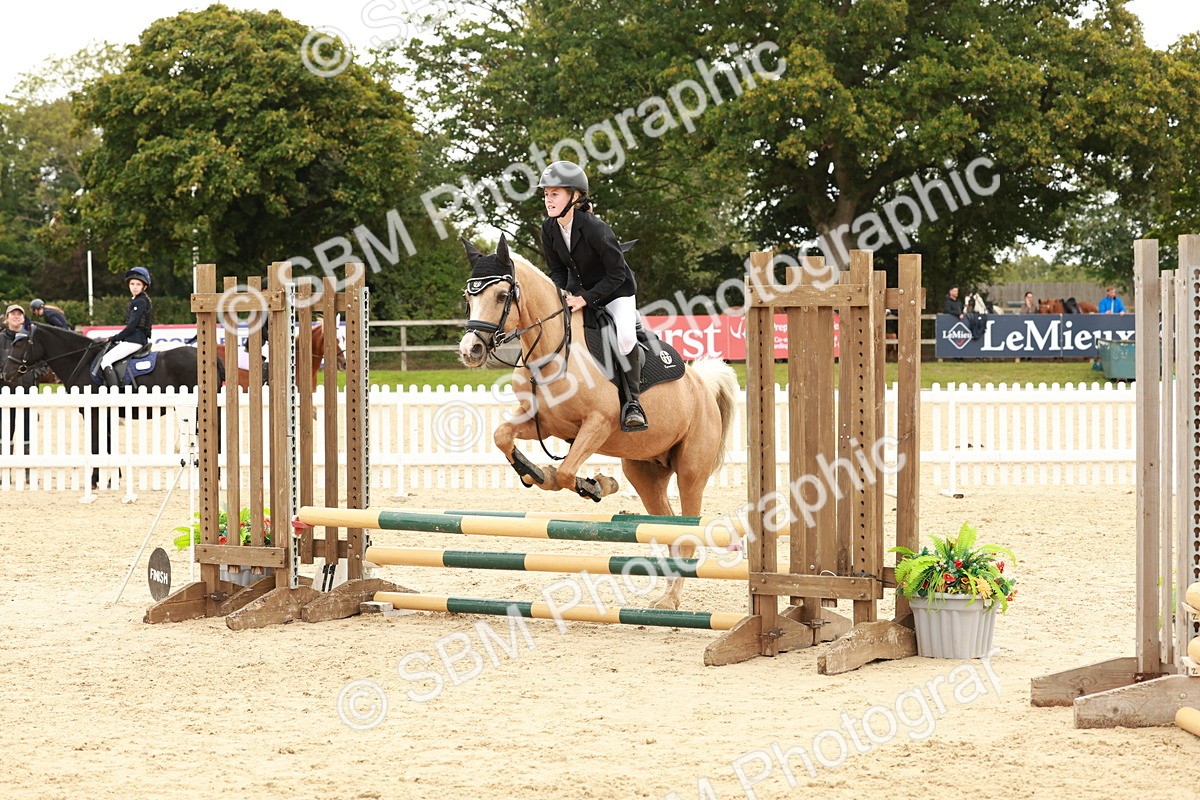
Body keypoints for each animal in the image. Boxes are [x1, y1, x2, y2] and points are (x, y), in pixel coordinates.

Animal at [1, 324, 209, 490]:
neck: (82, 362)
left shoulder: (93, 413)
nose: (6, 373)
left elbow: (96, 444)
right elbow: (108, 444)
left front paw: (95, 479)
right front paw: (112, 478)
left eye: (20, 344)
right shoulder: (105, 414)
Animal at [457, 236, 740, 609]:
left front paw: (593, 485)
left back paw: (669, 601)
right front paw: (537, 473)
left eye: (503, 296)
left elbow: (565, 472)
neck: (552, 349)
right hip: (645, 471)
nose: (471, 350)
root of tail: (702, 385)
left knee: (687, 530)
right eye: (468, 297)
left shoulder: (598, 424)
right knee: (667, 526)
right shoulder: (544, 423)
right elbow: (503, 436)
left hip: (691, 470)